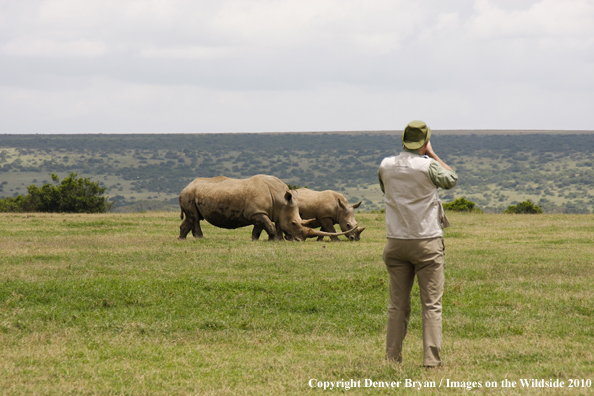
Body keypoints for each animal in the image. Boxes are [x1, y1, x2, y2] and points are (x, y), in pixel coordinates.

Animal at [178, 176, 350, 241]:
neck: (281, 200)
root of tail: (185, 187)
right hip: (189, 194)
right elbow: (269, 226)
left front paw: (258, 240)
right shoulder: (257, 212)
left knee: (191, 217)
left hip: (191, 194)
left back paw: (182, 239)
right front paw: (275, 239)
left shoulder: (260, 212)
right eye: (294, 223)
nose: (299, 240)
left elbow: (260, 228)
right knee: (195, 218)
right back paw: (199, 238)